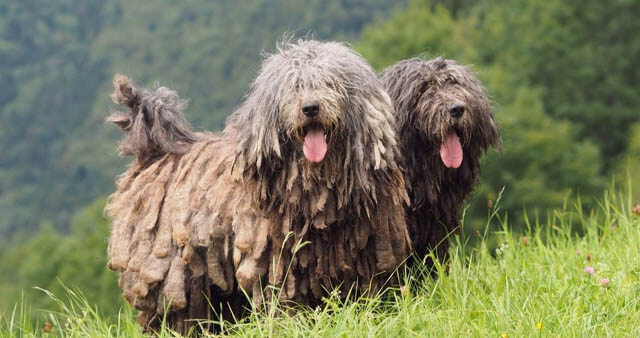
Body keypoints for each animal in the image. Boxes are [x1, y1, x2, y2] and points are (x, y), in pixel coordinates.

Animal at [105, 39, 410, 332]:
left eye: (329, 83)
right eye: (293, 88)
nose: (310, 108)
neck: (318, 193)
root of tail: (153, 153)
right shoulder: (275, 262)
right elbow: (286, 302)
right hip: (169, 270)